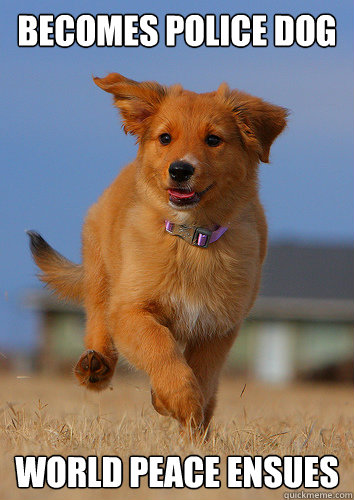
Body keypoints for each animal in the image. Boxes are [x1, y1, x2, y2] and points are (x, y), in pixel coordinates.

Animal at [27, 72, 288, 432]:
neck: (191, 239)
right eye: (165, 138)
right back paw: (95, 366)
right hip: (101, 271)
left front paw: (183, 411)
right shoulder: (131, 310)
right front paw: (178, 398)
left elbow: (203, 375)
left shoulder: (219, 327)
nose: (180, 170)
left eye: (213, 140)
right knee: (97, 317)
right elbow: (160, 347)